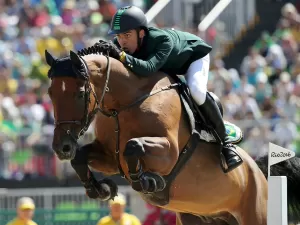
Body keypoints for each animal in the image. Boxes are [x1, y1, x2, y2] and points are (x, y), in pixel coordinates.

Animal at [44, 46, 300, 224]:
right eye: (50, 93)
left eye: (79, 93)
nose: (62, 147)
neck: (124, 105)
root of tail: (258, 171)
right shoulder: (110, 157)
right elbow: (82, 157)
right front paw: (101, 189)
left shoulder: (169, 152)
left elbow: (133, 146)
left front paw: (148, 181)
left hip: (255, 213)